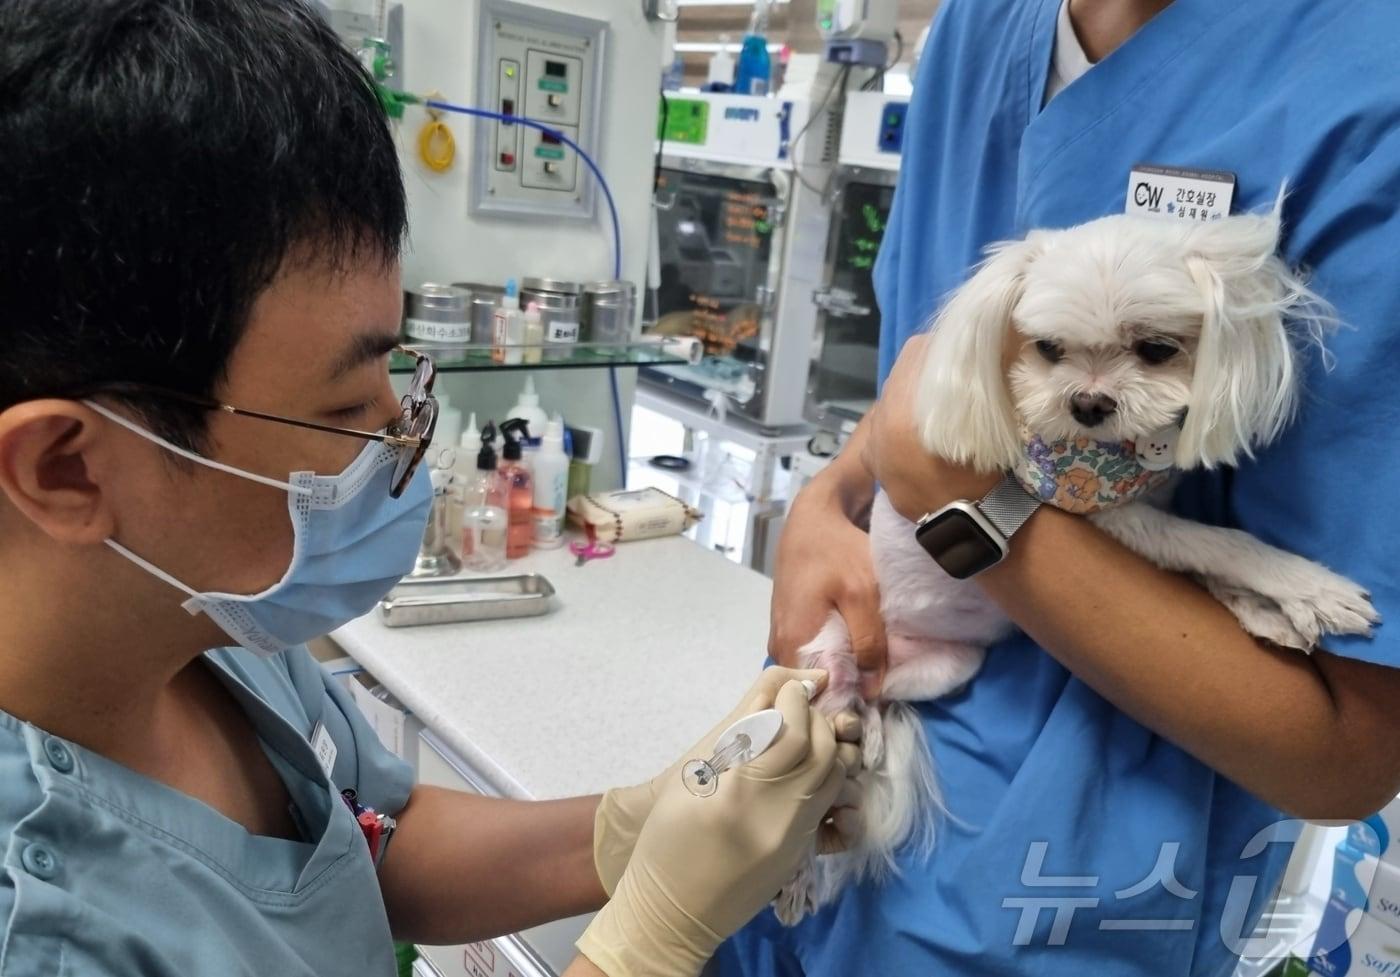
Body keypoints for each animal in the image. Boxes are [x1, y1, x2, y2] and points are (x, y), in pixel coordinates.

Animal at [778, 202, 1377, 918]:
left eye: (1157, 349)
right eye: (1048, 349)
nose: (1087, 404)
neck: (1117, 458)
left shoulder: (1148, 512)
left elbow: (1202, 573)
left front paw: (1269, 616)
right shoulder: (1114, 516)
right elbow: (1220, 544)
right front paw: (1308, 586)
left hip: (943, 670)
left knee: (872, 701)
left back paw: (866, 735)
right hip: (827, 658)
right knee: (823, 736)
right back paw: (801, 865)